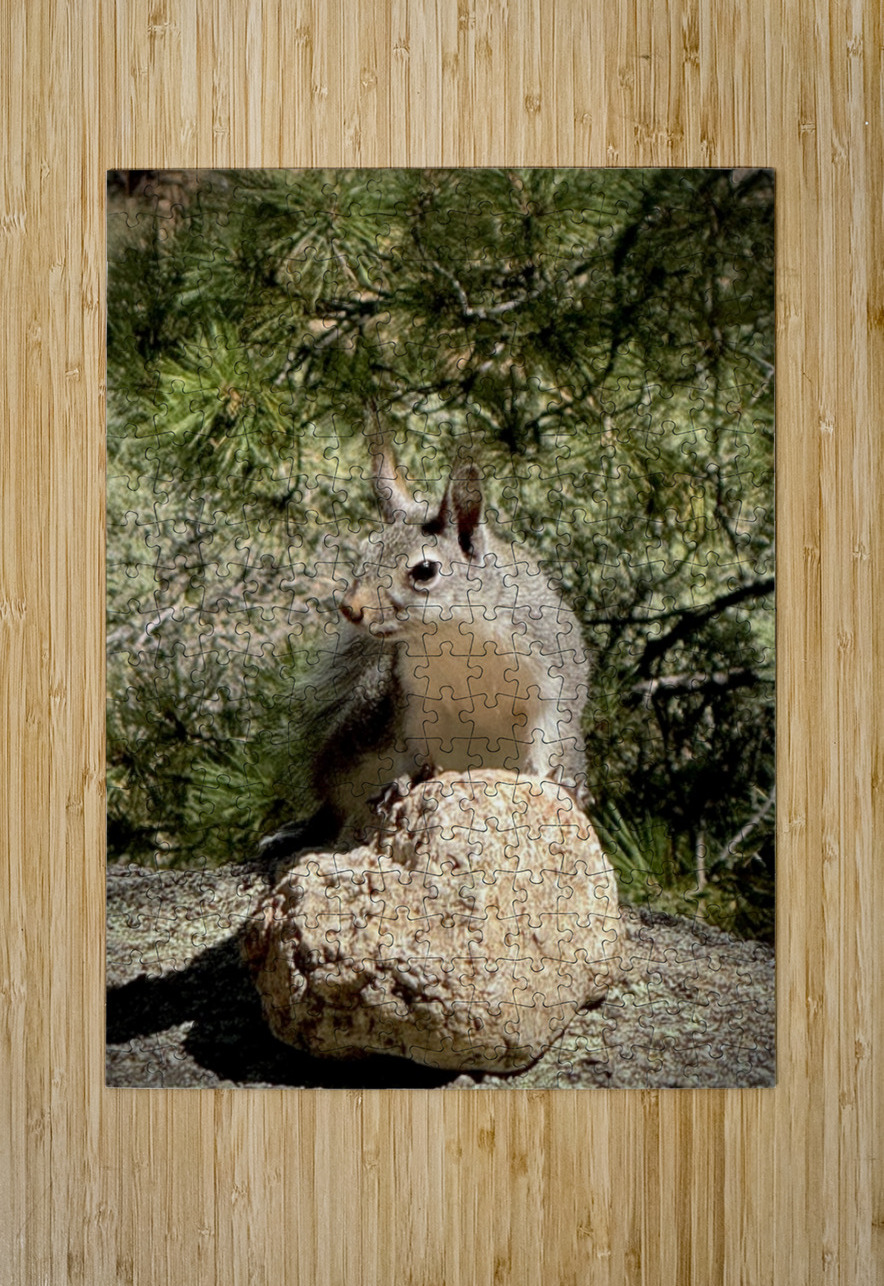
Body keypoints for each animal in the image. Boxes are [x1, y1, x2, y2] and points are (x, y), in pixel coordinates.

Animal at [261, 431, 590, 860]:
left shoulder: (554, 685)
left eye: (425, 570)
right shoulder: (417, 701)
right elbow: (418, 754)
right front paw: (405, 783)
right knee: (334, 810)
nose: (350, 608)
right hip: (362, 733)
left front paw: (560, 782)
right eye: (367, 553)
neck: (457, 636)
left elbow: (548, 744)